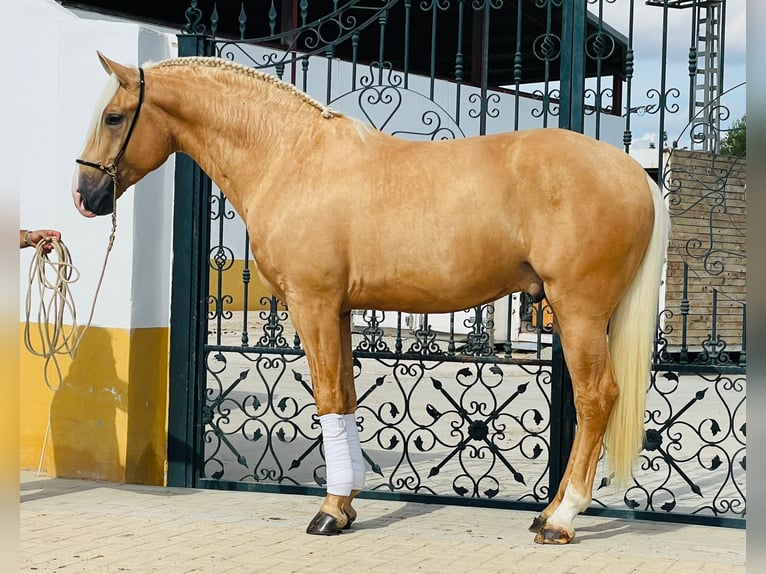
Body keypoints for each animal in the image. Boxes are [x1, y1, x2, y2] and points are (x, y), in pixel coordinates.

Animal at [73, 51, 672, 548]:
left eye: (113, 117)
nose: (85, 197)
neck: (291, 157)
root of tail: (633, 173)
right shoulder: (337, 310)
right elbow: (347, 397)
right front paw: (347, 506)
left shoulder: (312, 305)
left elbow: (328, 398)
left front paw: (329, 512)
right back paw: (547, 513)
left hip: (579, 310)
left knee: (597, 398)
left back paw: (561, 519)